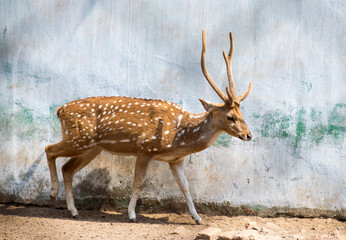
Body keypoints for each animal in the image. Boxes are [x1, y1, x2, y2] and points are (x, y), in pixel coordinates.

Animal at [45, 29, 251, 224]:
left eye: (242, 114)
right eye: (230, 117)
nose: (249, 135)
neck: (179, 135)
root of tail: (60, 110)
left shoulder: (176, 159)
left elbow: (185, 186)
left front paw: (198, 218)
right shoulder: (145, 148)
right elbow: (138, 181)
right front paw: (131, 214)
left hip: (92, 147)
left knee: (67, 168)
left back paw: (73, 210)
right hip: (79, 138)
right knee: (49, 149)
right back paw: (53, 192)